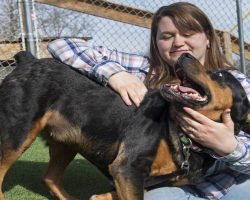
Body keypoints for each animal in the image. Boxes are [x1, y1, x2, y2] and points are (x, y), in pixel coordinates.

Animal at [0, 52, 249, 200]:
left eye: (218, 75)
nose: (184, 54)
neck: (183, 136)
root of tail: (29, 59)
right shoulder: (127, 167)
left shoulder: (143, 179)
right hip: (18, 133)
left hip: (67, 142)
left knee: (50, 177)